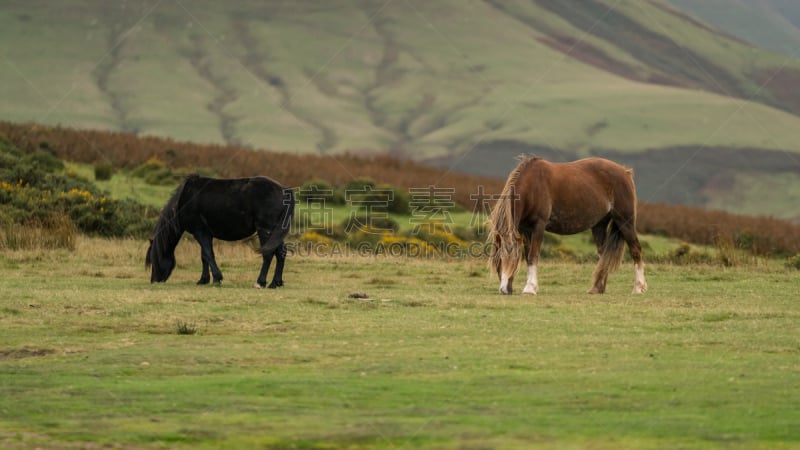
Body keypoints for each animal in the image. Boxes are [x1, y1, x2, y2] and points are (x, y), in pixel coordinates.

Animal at [146, 176, 294, 288]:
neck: (184, 200)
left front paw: (217, 278)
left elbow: (209, 255)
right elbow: (204, 256)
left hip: (265, 230)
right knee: (281, 252)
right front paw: (203, 280)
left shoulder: (200, 232)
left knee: (268, 254)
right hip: (275, 232)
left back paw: (260, 282)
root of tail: (284, 190)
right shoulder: (205, 233)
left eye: (154, 259)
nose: (154, 280)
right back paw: (275, 283)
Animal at [488, 156, 648, 296]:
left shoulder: (538, 226)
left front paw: (530, 289)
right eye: (498, 259)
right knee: (604, 256)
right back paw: (597, 289)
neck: (532, 186)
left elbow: (533, 256)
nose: (504, 290)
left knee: (636, 250)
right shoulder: (525, 229)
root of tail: (625, 172)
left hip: (625, 221)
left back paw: (638, 288)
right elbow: (528, 257)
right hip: (599, 225)